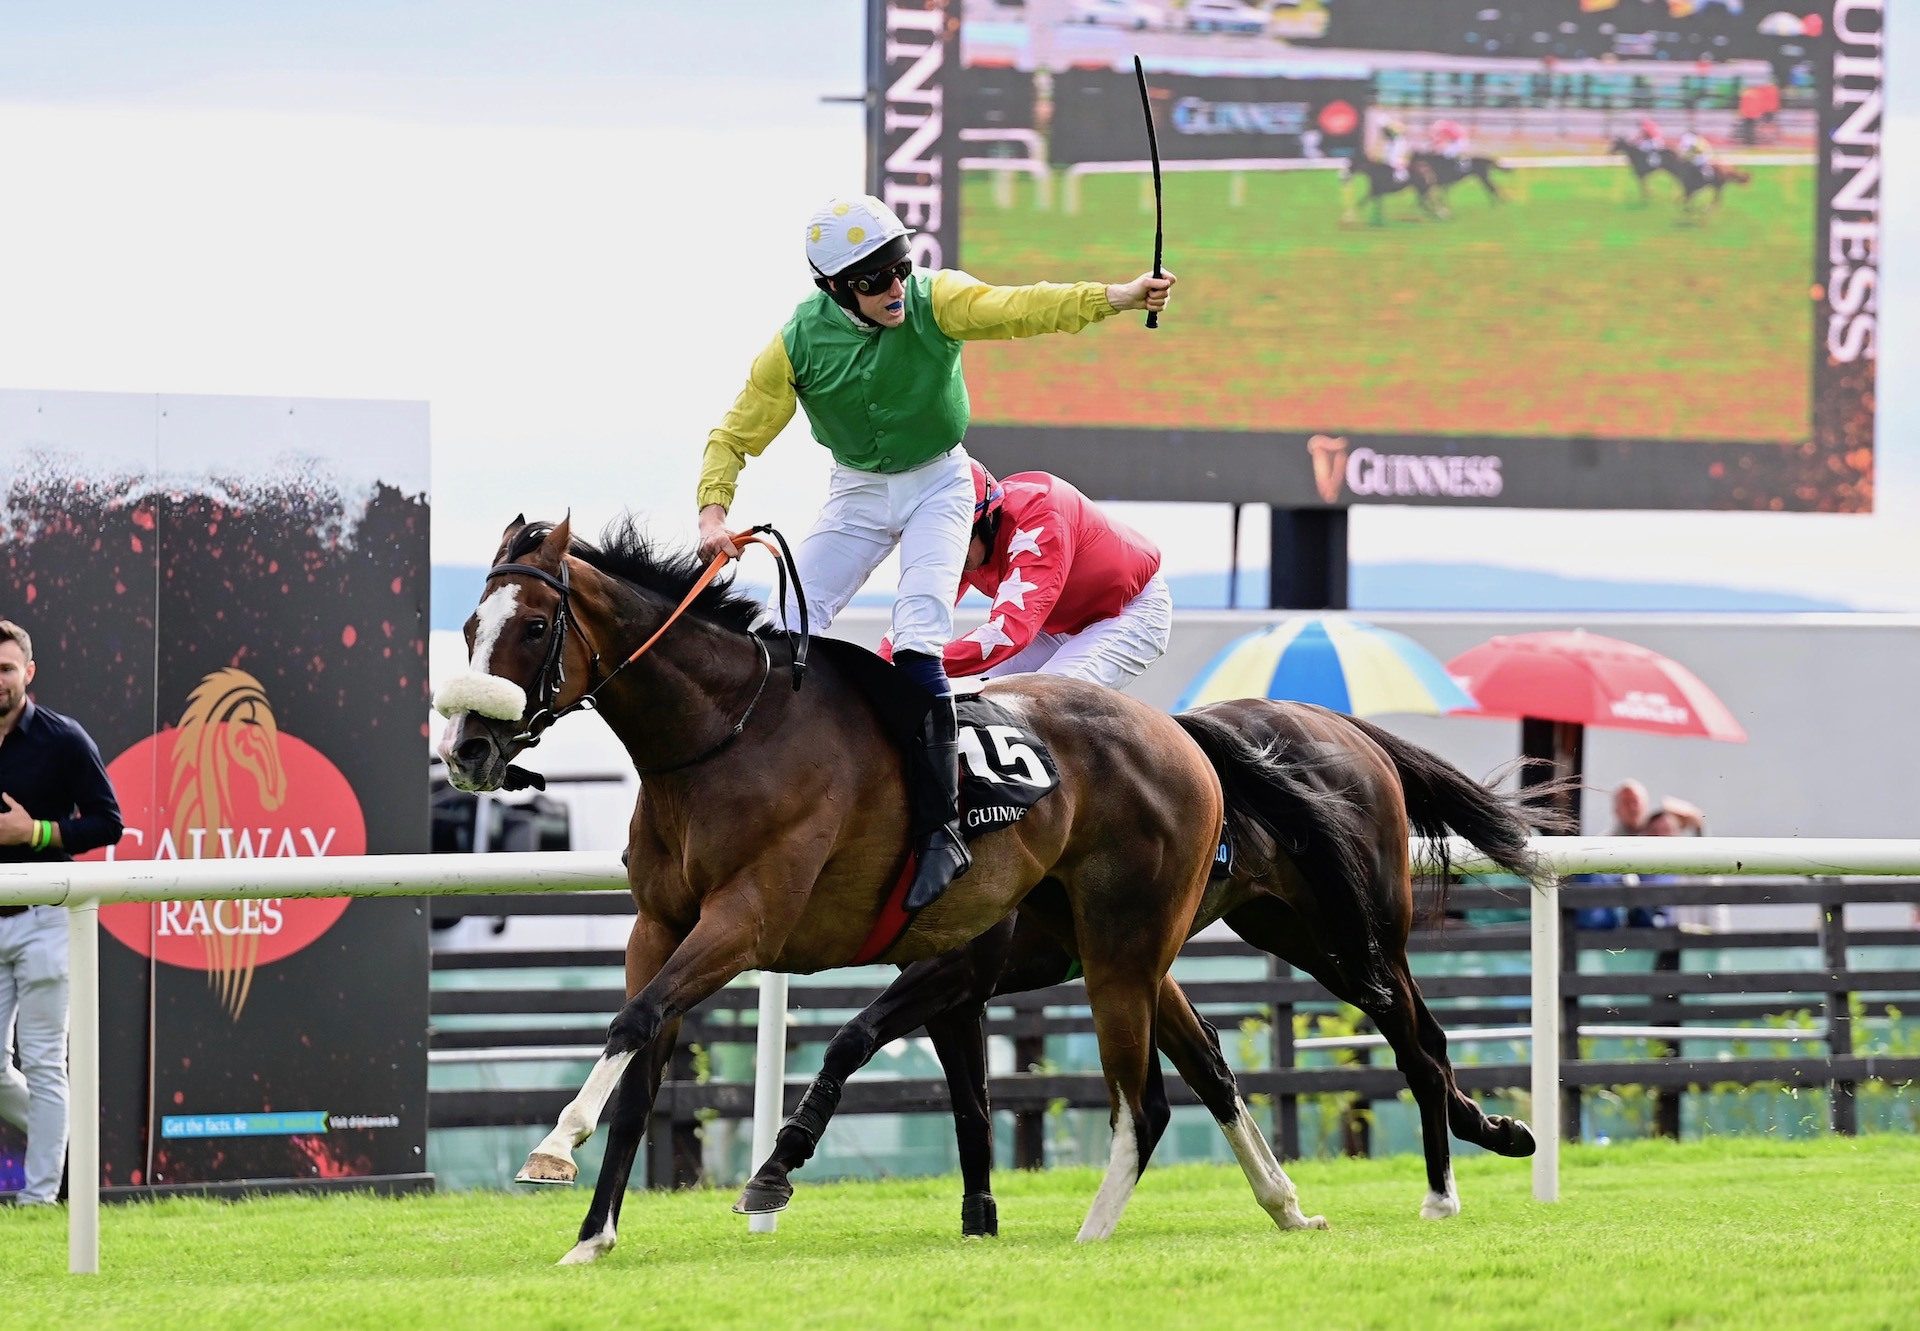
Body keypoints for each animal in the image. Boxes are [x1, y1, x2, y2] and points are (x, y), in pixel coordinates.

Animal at [437, 514, 1336, 1259]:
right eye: (471, 627)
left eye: (535, 625)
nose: (467, 748)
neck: (727, 737)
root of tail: (1178, 734)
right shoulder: (659, 926)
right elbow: (643, 1060)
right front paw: (592, 1236)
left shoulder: (753, 921)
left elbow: (658, 1020)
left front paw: (559, 1144)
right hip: (1125, 947)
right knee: (1206, 1060)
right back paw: (1285, 1203)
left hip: (1122, 946)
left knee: (1143, 1100)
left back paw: (1093, 1234)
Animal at [733, 699, 1559, 1229]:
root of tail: (1345, 727)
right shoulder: (965, 990)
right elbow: (971, 1103)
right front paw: (979, 1221)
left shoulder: (960, 972)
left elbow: (853, 1037)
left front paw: (777, 1166)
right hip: (1297, 930)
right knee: (1426, 1038)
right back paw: (1496, 1131)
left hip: (1358, 934)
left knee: (1417, 1044)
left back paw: (1443, 1190)